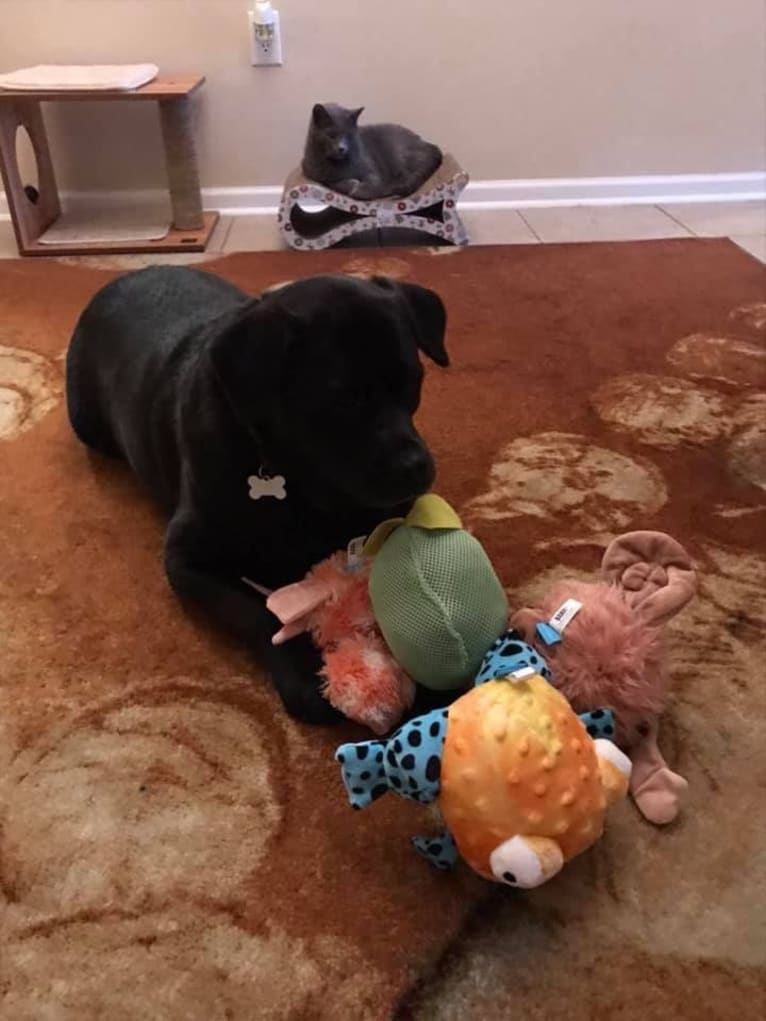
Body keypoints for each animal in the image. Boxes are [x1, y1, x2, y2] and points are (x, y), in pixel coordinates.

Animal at [68, 267, 449, 722]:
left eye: (415, 382)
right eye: (341, 398)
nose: (417, 467)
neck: (286, 471)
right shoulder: (187, 559)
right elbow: (256, 611)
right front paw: (305, 673)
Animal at [302, 103, 443, 199]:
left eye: (348, 135)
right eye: (331, 135)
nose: (342, 148)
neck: (338, 164)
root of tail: (428, 144)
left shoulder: (371, 169)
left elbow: (371, 182)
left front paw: (359, 189)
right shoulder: (314, 173)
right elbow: (332, 182)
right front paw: (350, 183)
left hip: (397, 150)